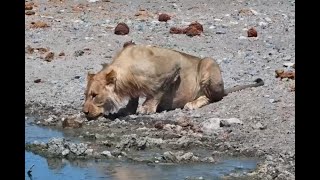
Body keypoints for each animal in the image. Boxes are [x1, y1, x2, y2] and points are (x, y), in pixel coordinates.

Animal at [82, 43, 262, 120]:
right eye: (85, 95)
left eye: (94, 95)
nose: (84, 112)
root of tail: (224, 88)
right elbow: (134, 97)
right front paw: (127, 109)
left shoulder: (173, 67)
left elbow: (157, 91)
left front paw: (146, 108)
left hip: (208, 63)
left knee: (213, 97)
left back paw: (192, 104)